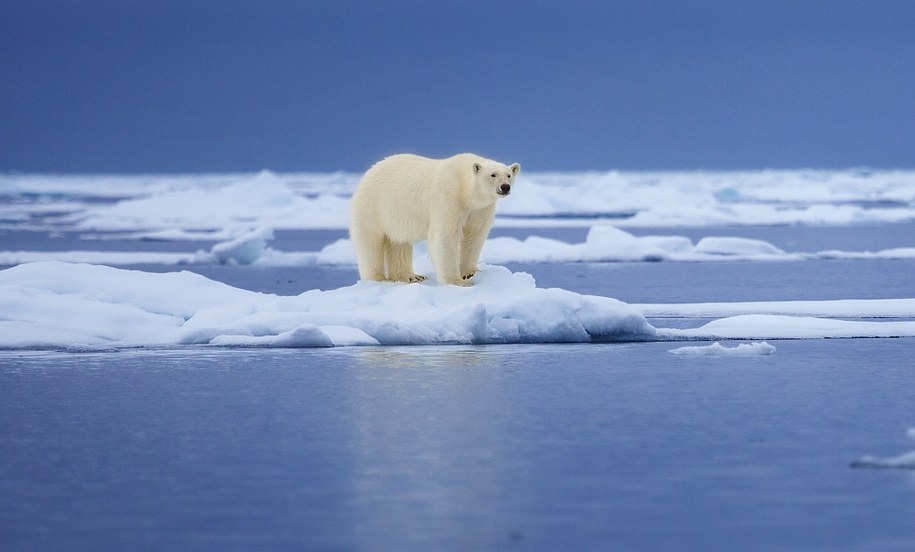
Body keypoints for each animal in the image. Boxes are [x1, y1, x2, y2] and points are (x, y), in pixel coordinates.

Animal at [350, 153, 524, 286]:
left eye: (509, 175)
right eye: (492, 174)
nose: (505, 187)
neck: (464, 188)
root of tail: (369, 171)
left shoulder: (479, 210)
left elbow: (475, 235)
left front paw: (469, 273)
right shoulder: (449, 198)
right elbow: (446, 236)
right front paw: (457, 281)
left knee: (399, 242)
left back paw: (411, 276)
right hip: (373, 207)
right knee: (371, 243)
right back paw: (378, 278)